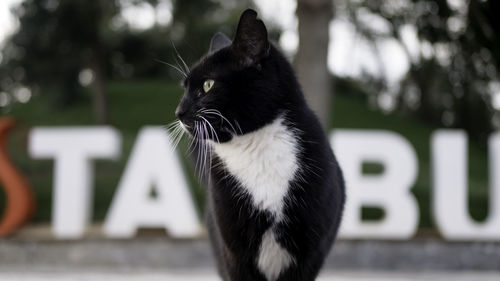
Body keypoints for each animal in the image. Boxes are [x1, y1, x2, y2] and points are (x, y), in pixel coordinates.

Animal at [174, 8, 346, 280]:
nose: (178, 112)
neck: (255, 146)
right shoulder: (233, 255)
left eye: (207, 85)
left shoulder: (310, 255)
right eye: (185, 88)